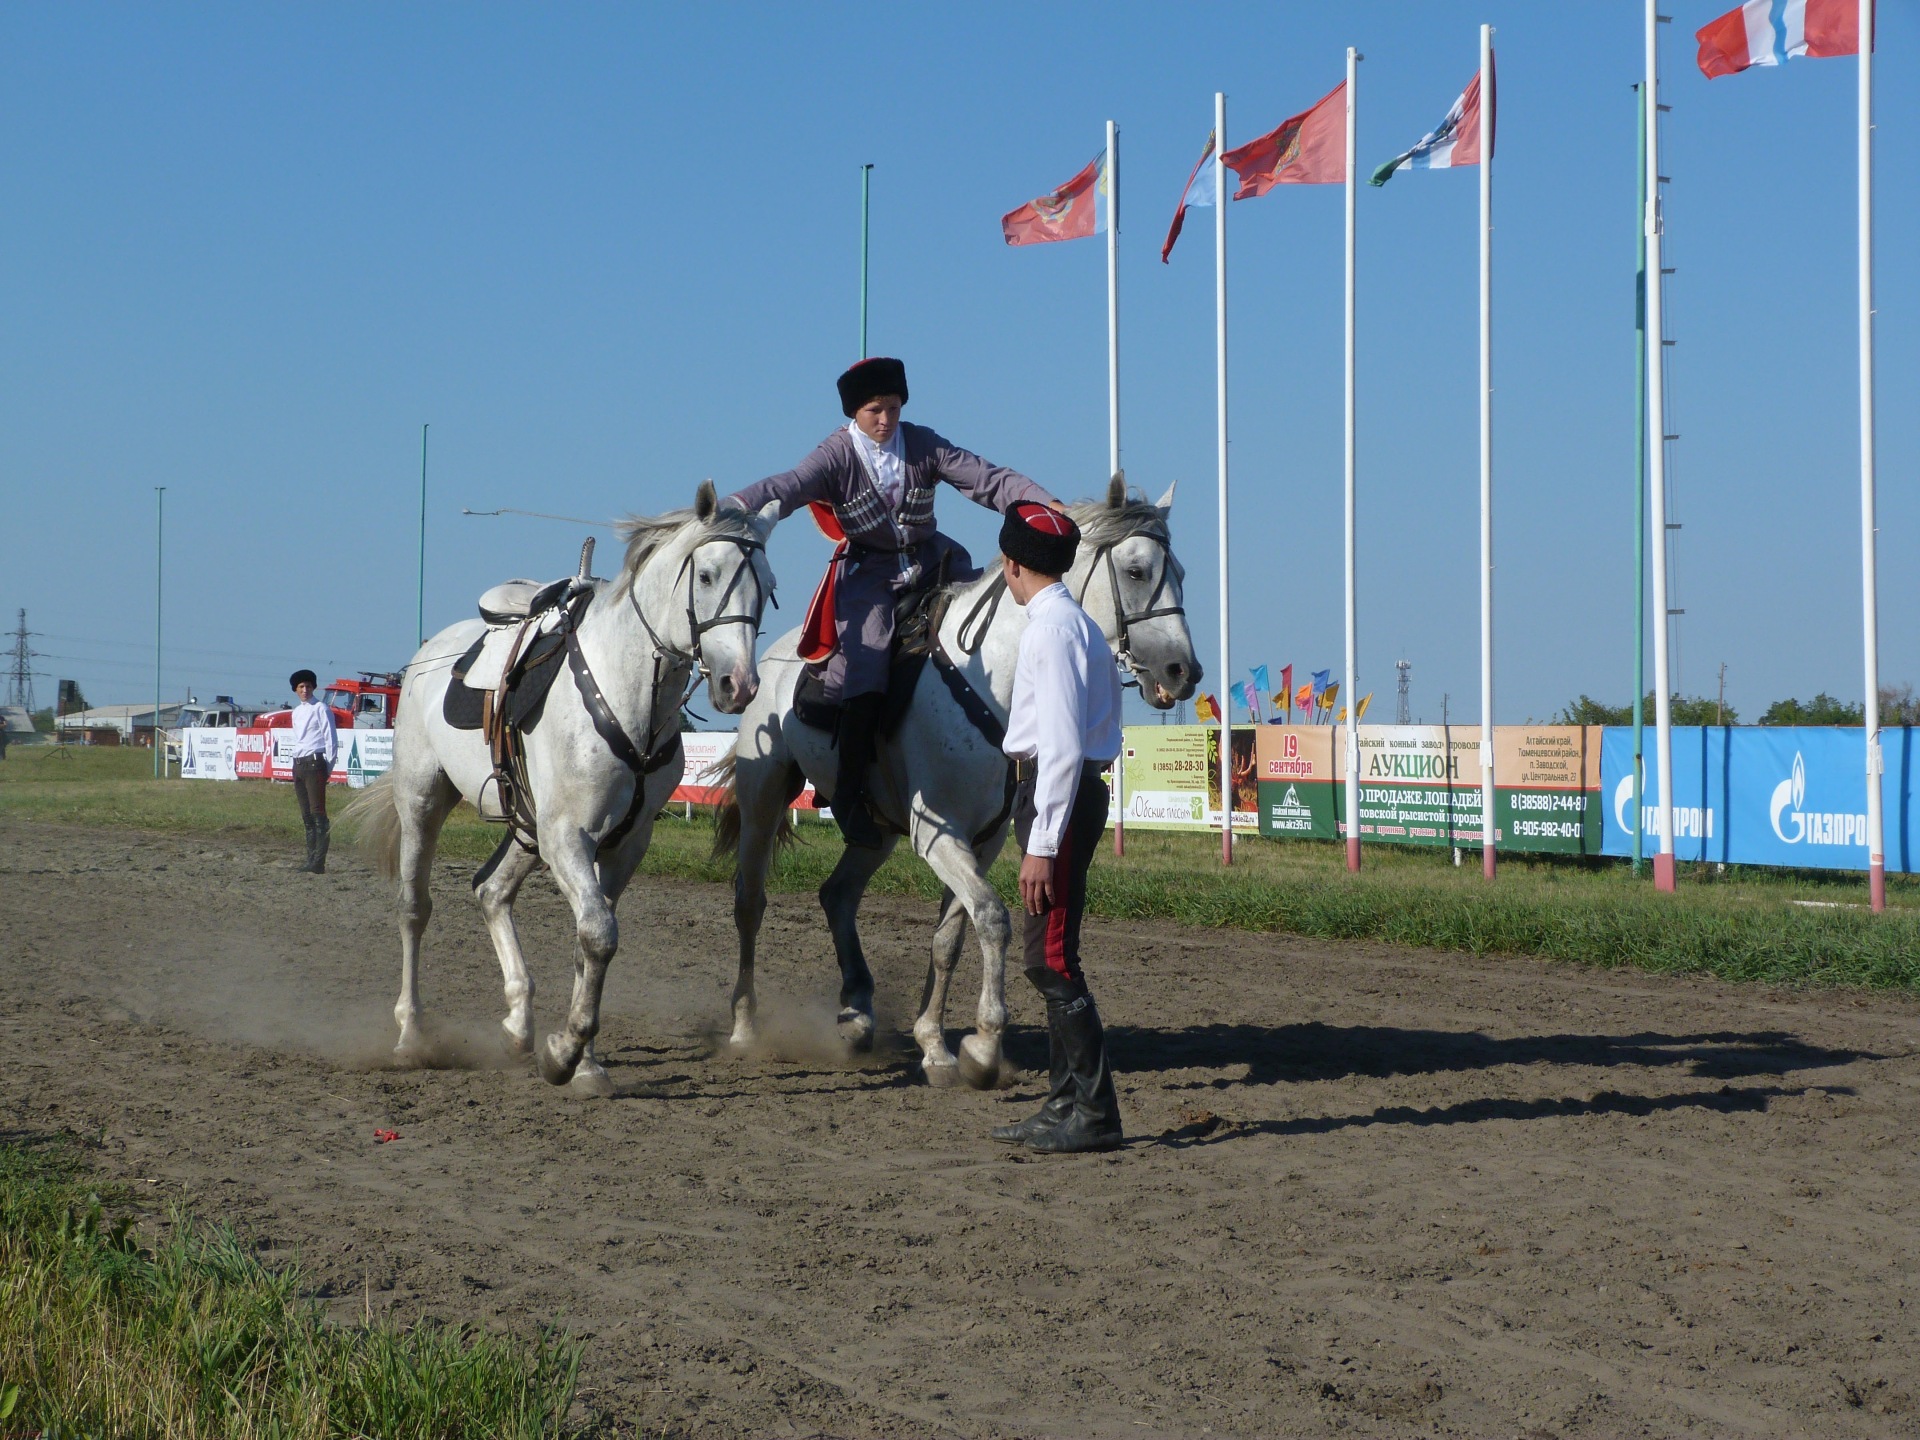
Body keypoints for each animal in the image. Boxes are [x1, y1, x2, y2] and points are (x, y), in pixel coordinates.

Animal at [345, 481, 780, 1094]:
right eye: (707, 575)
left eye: (769, 587)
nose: (738, 684)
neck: (627, 694)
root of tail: (430, 654)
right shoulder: (567, 836)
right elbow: (598, 933)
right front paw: (565, 1054)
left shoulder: (623, 842)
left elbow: (591, 941)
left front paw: (585, 1061)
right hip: (424, 801)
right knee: (414, 908)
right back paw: (411, 1033)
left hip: (526, 827)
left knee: (491, 890)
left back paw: (517, 1024)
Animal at [714, 476, 1200, 1088]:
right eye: (1136, 570)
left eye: (1179, 570)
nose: (1184, 671)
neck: (993, 677)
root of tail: (773, 660)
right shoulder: (937, 833)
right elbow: (992, 918)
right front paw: (984, 1046)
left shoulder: (981, 840)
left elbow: (951, 936)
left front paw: (935, 1044)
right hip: (765, 798)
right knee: (749, 901)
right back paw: (743, 1027)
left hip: (875, 828)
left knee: (838, 894)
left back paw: (857, 1012)